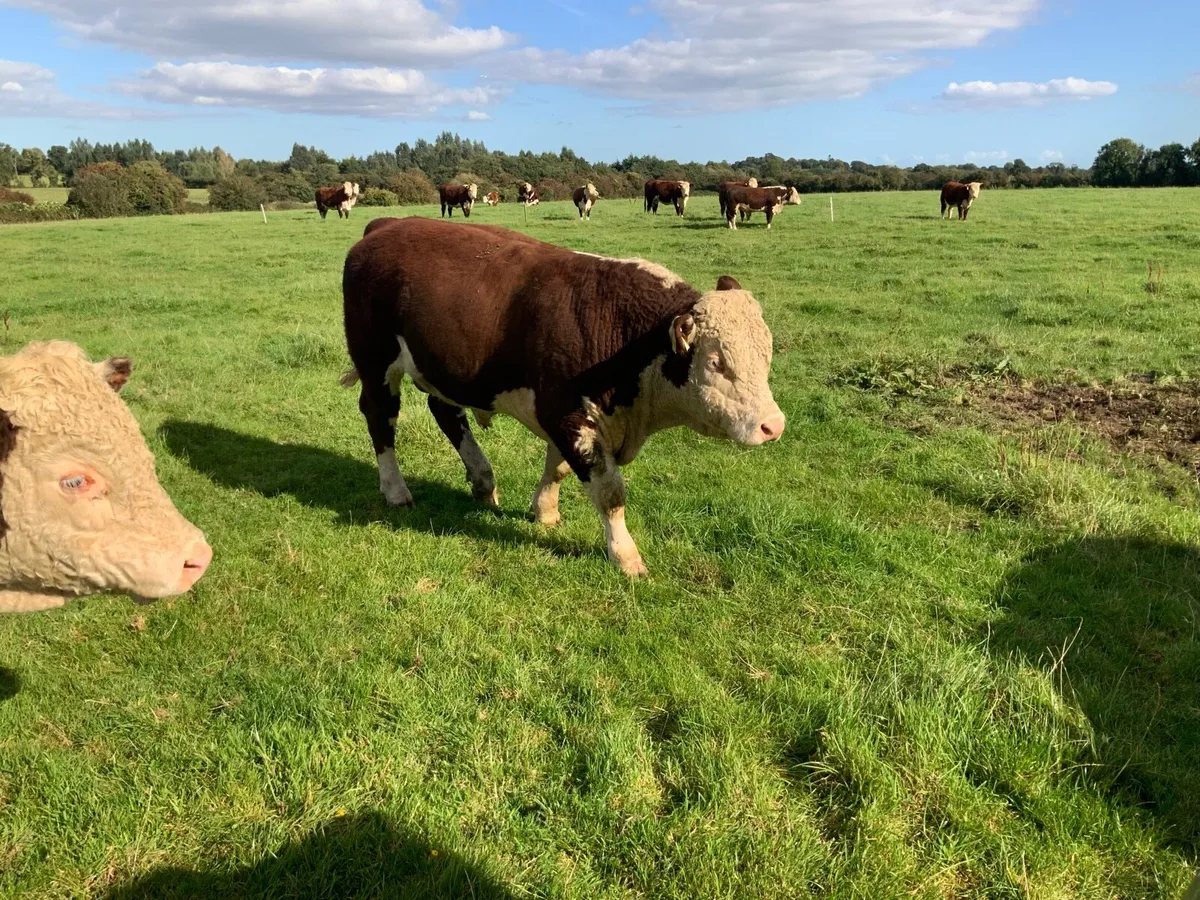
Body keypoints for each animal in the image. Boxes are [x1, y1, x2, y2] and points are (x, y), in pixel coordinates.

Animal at [340, 218, 785, 578]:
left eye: (767, 353)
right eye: (716, 362)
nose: (773, 425)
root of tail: (385, 226)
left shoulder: (567, 417)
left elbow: (558, 469)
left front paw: (545, 511)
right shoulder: (568, 414)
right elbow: (609, 491)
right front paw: (625, 556)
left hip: (445, 368)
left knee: (446, 412)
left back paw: (483, 482)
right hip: (376, 361)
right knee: (380, 417)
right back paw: (396, 490)